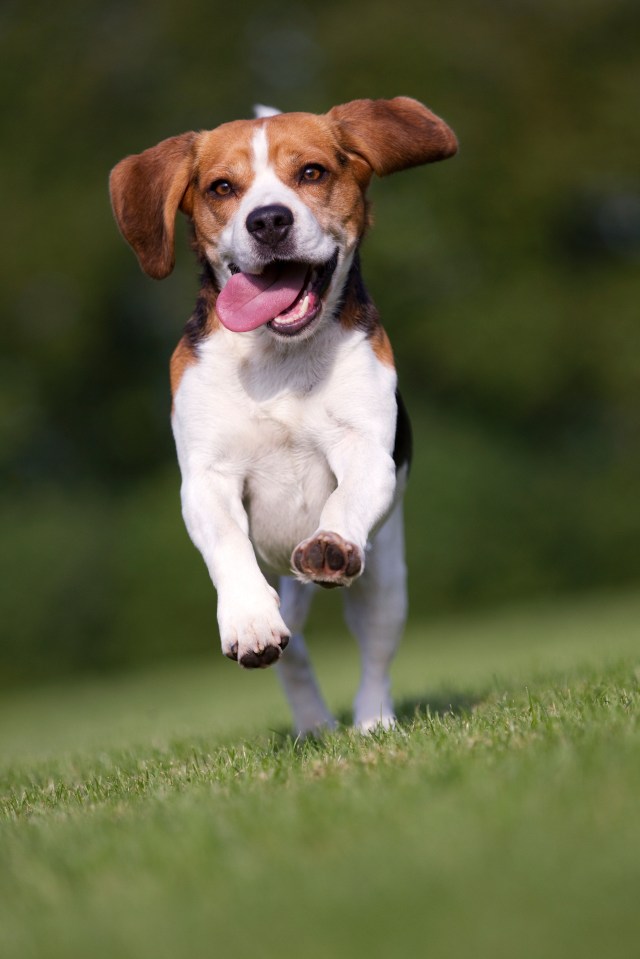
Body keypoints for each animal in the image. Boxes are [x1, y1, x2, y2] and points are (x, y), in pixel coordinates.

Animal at [111, 97, 460, 732]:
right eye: (222, 187)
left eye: (312, 173)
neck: (280, 357)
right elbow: (228, 546)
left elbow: (344, 498)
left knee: (375, 652)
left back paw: (372, 722)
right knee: (293, 653)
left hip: (385, 579)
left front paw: (331, 543)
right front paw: (248, 619)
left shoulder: (365, 452)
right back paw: (312, 723)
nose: (268, 221)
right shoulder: (207, 479)